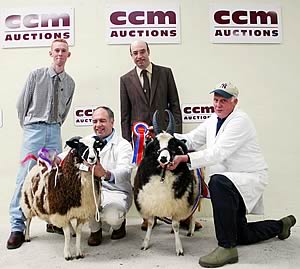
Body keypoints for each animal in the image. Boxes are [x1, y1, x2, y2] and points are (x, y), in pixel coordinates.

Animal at [134, 110, 199, 254]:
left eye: (173, 144)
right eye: (156, 144)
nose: (163, 158)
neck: (163, 175)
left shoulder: (178, 202)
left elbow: (175, 225)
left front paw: (179, 248)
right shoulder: (150, 202)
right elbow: (151, 223)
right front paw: (145, 244)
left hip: (195, 193)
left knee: (193, 213)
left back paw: (191, 230)